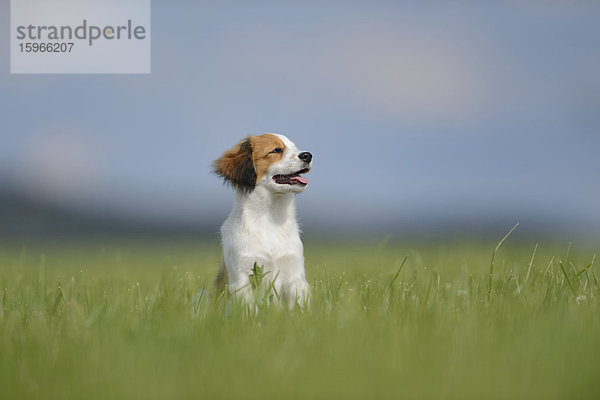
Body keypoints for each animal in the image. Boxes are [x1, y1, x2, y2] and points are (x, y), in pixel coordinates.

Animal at [212, 133, 314, 308]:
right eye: (276, 150)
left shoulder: (295, 275)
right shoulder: (242, 277)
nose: (308, 155)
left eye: (294, 147)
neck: (269, 218)